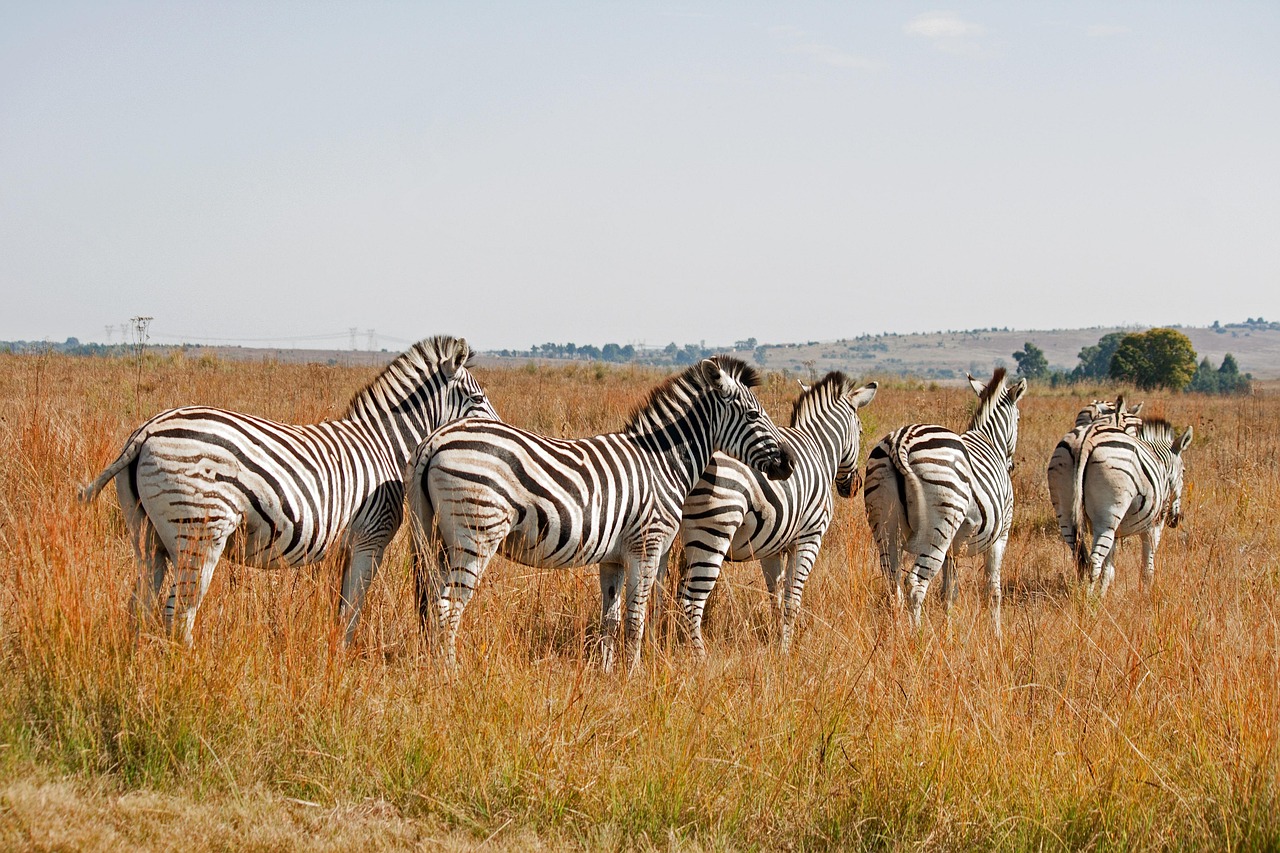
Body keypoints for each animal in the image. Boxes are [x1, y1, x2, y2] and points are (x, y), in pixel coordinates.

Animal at [78, 335, 499, 645]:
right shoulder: (371, 539)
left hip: (147, 537)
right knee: (178, 612)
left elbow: (340, 606)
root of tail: (147, 430)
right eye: (478, 399)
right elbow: (353, 608)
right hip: (199, 533)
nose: (501, 431)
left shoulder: (346, 546)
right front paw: (343, 660)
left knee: (140, 605)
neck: (384, 444)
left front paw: (333, 655)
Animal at [405, 356, 795, 673]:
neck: (662, 464)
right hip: (475, 534)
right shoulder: (646, 547)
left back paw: (431, 667)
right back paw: (450, 674)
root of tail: (435, 440)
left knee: (433, 602)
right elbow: (636, 618)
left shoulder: (613, 559)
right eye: (754, 415)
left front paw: (607, 674)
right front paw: (634, 676)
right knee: (449, 607)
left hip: (436, 537)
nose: (788, 463)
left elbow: (611, 619)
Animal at [657, 372, 877, 656]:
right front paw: (786, 649)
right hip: (713, 531)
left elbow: (776, 595)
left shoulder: (772, 546)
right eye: (860, 431)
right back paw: (698, 655)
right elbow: (793, 599)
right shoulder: (810, 538)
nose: (853, 487)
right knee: (690, 598)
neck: (818, 448)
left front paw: (775, 638)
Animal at [862, 368, 1027, 636]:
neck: (990, 440)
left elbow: (949, 592)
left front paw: (947, 631)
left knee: (892, 582)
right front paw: (997, 635)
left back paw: (896, 636)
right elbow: (993, 590)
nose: (1011, 466)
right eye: (1020, 419)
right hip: (939, 528)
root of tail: (900, 442)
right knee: (915, 583)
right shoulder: (1001, 535)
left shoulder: (954, 548)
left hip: (885, 523)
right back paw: (916, 636)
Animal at [1071, 403, 1192, 596]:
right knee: (1094, 561)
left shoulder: (1115, 531)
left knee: (1079, 558)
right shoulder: (1154, 525)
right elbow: (1147, 568)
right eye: (1184, 471)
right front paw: (1146, 596)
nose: (1176, 520)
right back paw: (1087, 601)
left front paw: (1103, 595)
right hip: (1107, 516)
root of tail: (1087, 441)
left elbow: (1109, 568)